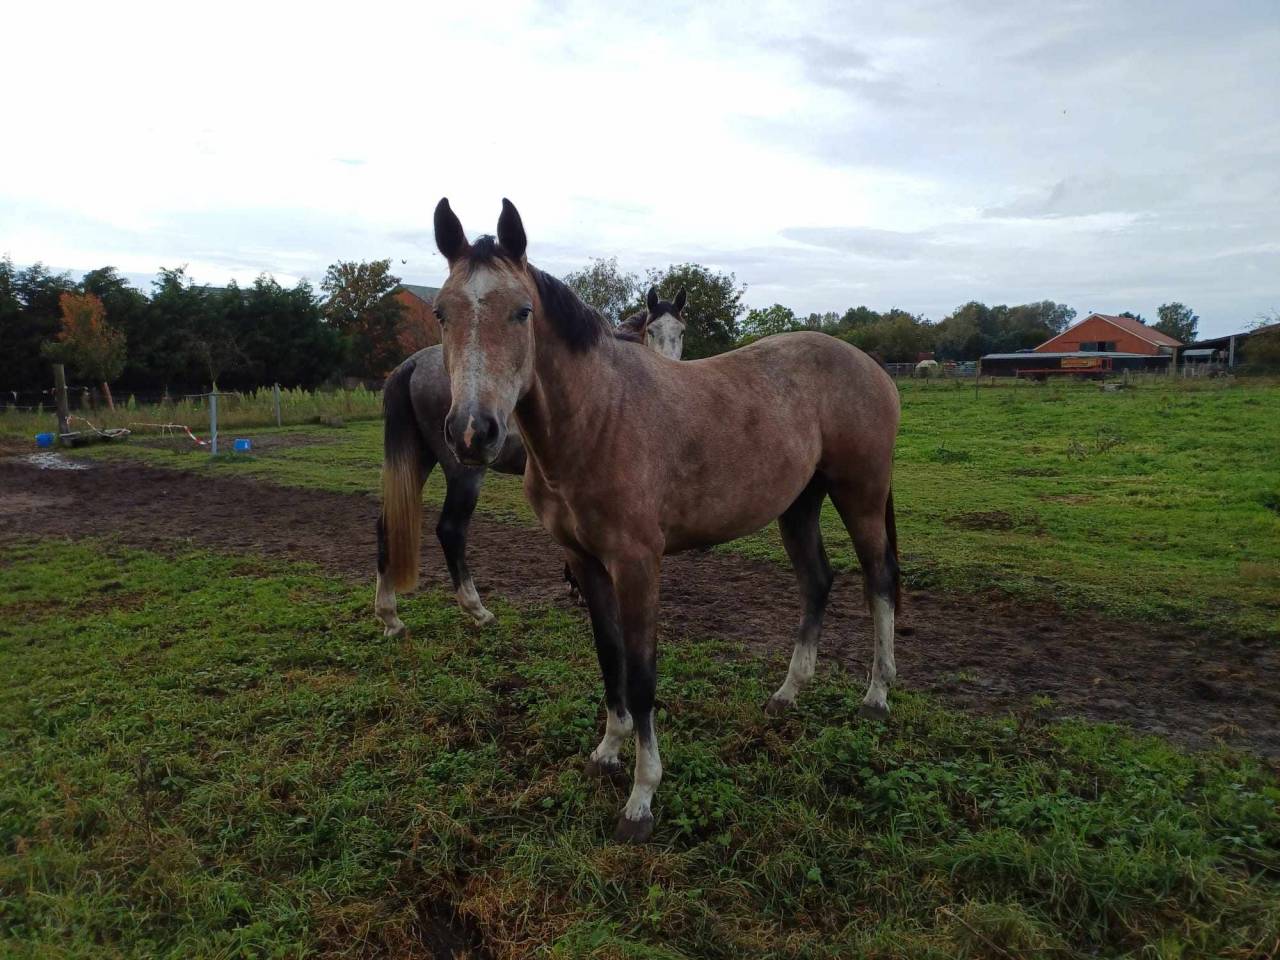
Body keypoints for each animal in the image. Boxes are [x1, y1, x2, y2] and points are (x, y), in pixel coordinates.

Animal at [375, 292, 687, 634]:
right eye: (652, 330)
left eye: (681, 330)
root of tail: (413, 364)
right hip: (464, 471)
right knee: (451, 530)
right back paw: (477, 610)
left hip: (419, 460)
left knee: (386, 524)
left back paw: (390, 616)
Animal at [425, 198, 900, 843]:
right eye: (441, 313)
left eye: (522, 312)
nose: (473, 432)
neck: (598, 418)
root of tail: (872, 367)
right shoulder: (583, 560)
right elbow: (610, 657)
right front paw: (607, 751)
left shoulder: (637, 564)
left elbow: (644, 673)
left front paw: (641, 797)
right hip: (799, 503)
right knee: (818, 582)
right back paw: (787, 692)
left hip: (861, 495)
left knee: (878, 583)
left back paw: (876, 696)